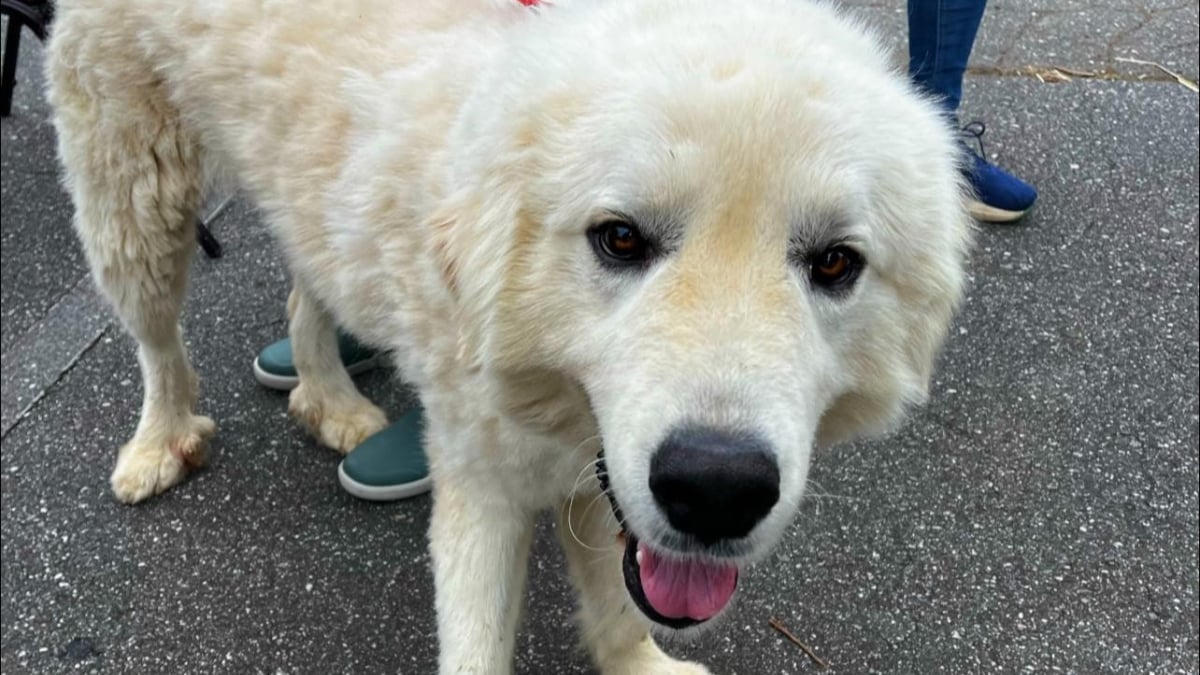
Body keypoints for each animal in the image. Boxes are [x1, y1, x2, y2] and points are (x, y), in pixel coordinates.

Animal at [44, 0, 974, 667]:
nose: (716, 489)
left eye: (834, 262)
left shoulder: (596, 470)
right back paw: (160, 442)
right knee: (157, 339)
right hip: (136, 193)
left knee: (308, 295)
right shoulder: (482, 480)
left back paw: (329, 399)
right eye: (620, 238)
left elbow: (620, 601)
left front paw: (639, 662)